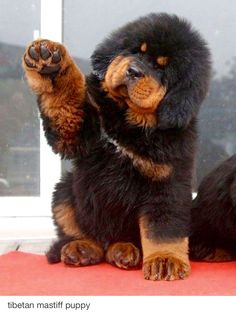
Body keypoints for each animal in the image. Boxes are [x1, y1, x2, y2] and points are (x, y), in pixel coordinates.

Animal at [21, 12, 210, 282]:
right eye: (136, 51)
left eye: (162, 68)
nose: (133, 71)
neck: (129, 120)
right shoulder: (78, 132)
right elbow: (64, 100)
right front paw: (49, 63)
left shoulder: (168, 182)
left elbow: (164, 228)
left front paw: (165, 260)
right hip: (66, 191)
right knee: (83, 232)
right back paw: (83, 248)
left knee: (117, 241)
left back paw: (123, 250)